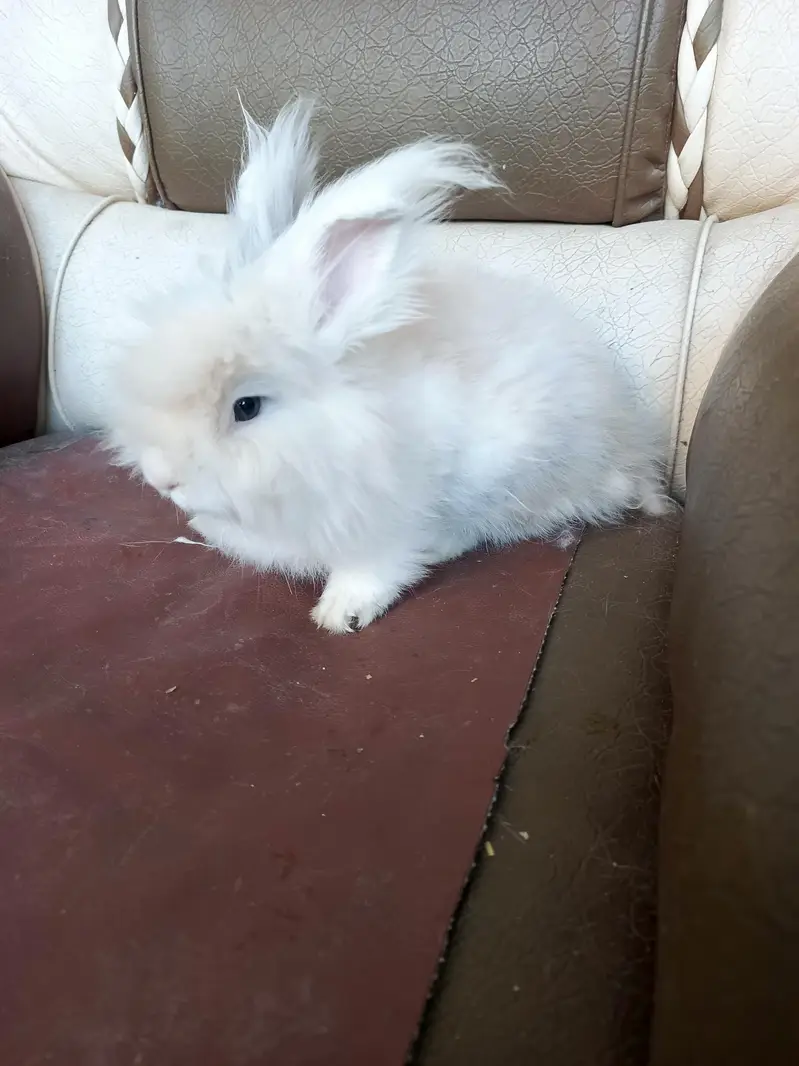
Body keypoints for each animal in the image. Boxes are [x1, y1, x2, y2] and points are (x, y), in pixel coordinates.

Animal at [103, 98, 668, 634]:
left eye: (247, 407)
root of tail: (630, 453)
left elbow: (375, 568)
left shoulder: (387, 522)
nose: (163, 480)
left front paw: (341, 614)